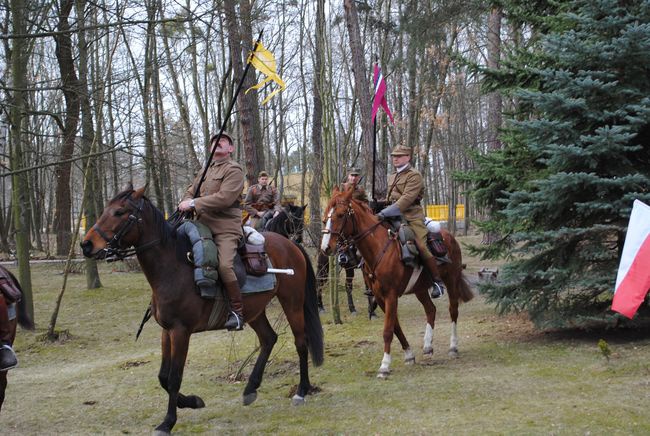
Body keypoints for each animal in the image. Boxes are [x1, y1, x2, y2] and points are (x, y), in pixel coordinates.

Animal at [79, 186, 322, 434]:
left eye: (119, 212)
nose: (86, 245)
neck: (173, 267)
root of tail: (290, 244)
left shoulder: (181, 331)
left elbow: (174, 377)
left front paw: (168, 421)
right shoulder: (166, 331)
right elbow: (163, 377)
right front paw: (192, 401)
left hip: (292, 302)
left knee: (301, 342)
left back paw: (301, 391)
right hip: (254, 310)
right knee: (269, 339)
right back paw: (250, 389)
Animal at [318, 184, 470, 378]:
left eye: (340, 214)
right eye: (325, 214)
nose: (326, 247)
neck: (379, 248)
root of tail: (449, 236)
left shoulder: (391, 296)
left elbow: (388, 330)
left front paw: (384, 366)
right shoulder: (380, 297)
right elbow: (395, 326)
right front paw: (409, 355)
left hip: (451, 280)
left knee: (453, 310)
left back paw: (453, 347)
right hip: (420, 289)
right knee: (431, 310)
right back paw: (428, 346)